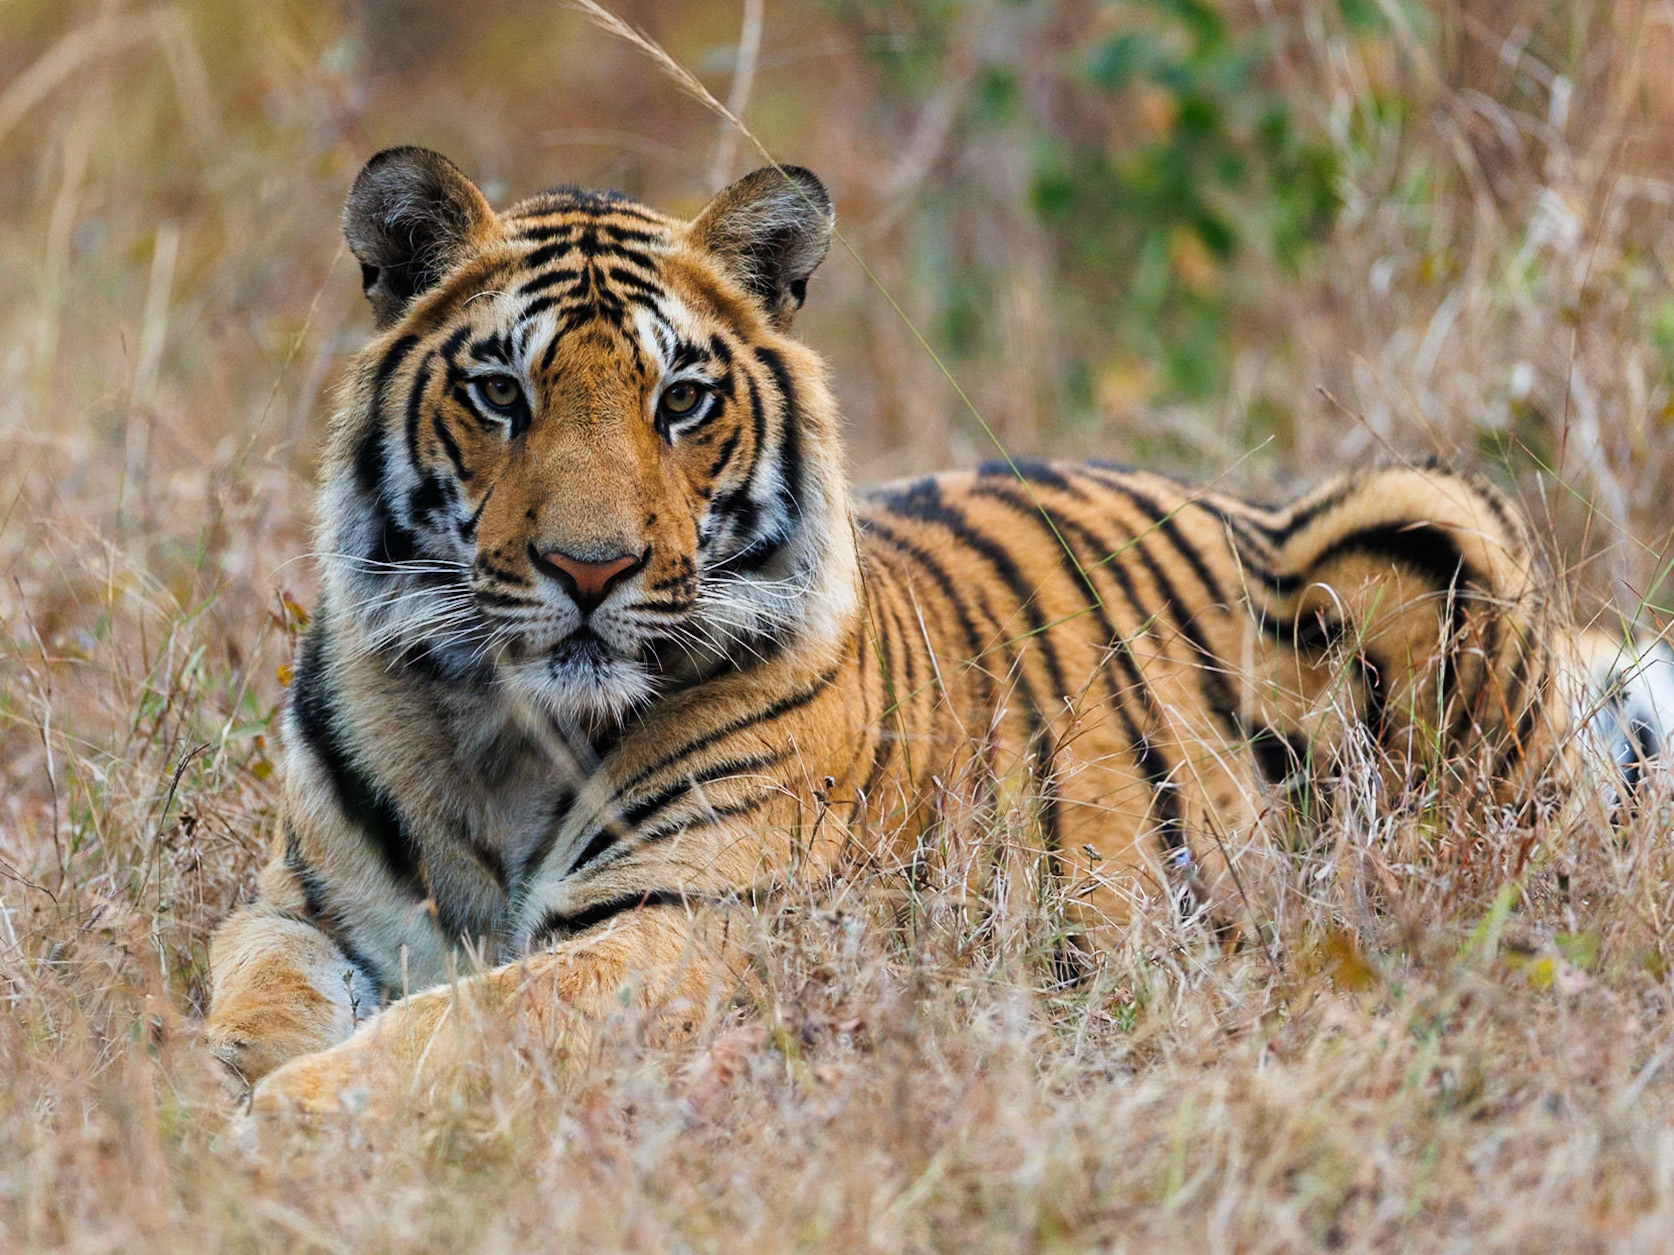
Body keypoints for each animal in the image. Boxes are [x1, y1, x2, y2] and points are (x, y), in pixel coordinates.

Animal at [205, 146, 1674, 1115]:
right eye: (499, 390)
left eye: (681, 398)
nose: (589, 568)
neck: (505, 730)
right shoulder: (303, 907)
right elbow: (257, 997)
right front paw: (222, 1082)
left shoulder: (693, 923)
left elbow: (469, 1025)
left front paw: (281, 1123)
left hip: (1432, 526)